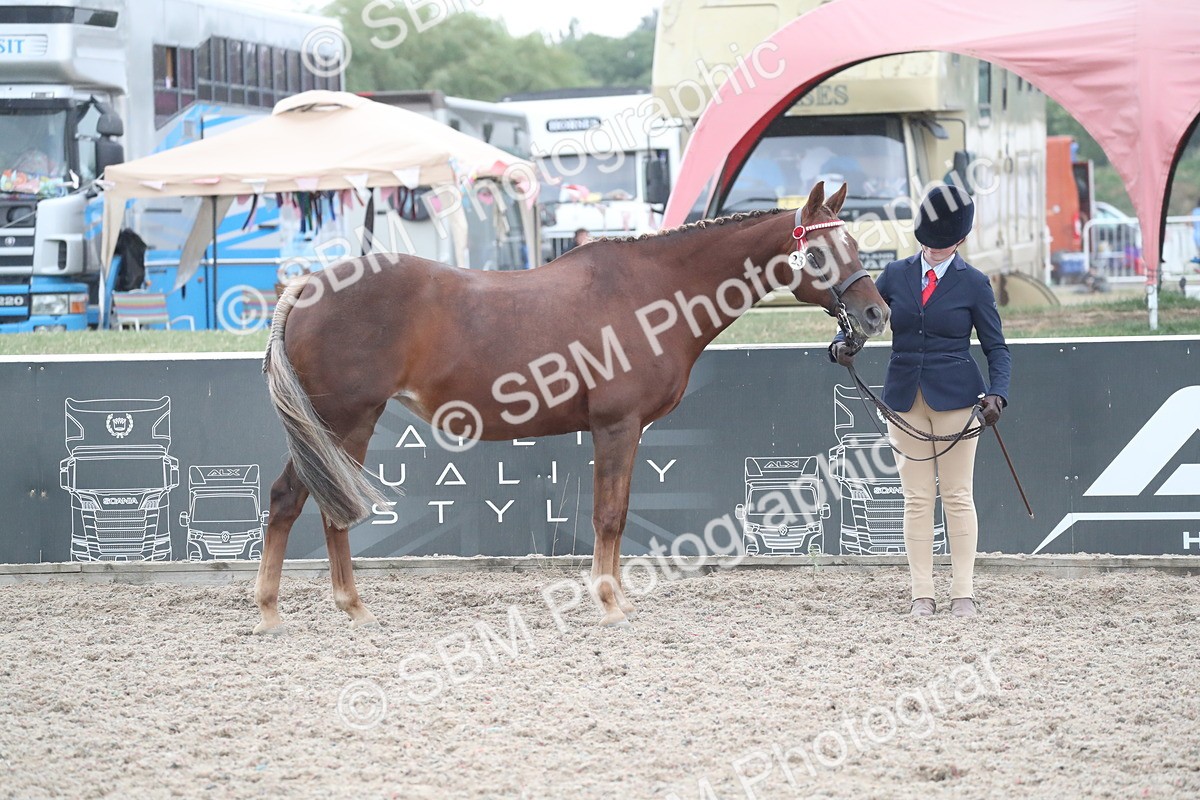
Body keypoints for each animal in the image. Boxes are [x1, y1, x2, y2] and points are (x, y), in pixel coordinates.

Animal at [254, 180, 888, 633]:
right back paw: (288, 612)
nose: (877, 314)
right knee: (298, 500)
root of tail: (308, 285)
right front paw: (609, 604)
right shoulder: (616, 427)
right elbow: (607, 516)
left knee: (317, 505)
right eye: (820, 252)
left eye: (856, 245)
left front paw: (617, 597)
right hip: (343, 420)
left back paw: (329, 608)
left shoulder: (627, 431)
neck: (651, 295)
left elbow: (620, 513)